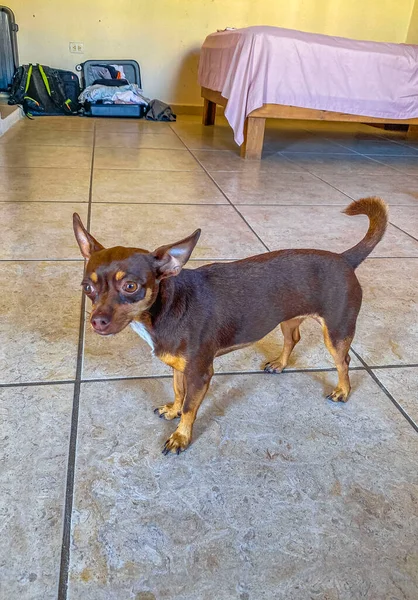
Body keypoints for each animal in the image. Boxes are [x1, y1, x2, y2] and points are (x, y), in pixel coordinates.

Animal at [72, 197, 388, 454]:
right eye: (87, 287)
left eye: (130, 286)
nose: (96, 321)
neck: (164, 307)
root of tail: (344, 259)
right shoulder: (179, 367)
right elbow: (178, 393)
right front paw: (172, 410)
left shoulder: (200, 374)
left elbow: (190, 407)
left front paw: (181, 437)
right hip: (287, 319)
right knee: (293, 338)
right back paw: (280, 364)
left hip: (336, 332)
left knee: (343, 362)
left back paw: (343, 391)